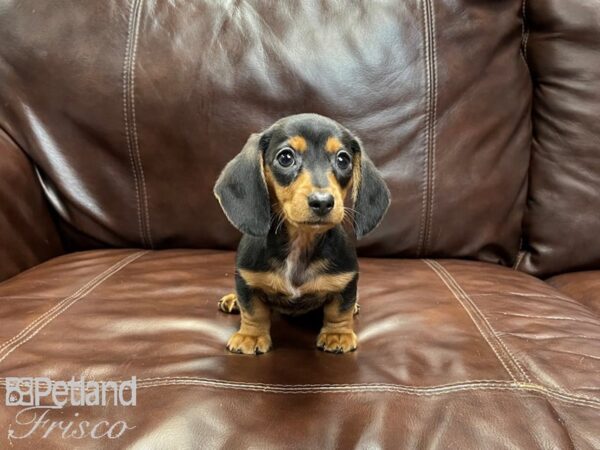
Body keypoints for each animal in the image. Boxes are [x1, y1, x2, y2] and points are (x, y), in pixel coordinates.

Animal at [213, 115, 392, 356]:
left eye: (343, 159)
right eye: (285, 157)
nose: (322, 202)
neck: (301, 240)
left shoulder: (346, 280)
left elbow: (339, 310)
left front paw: (337, 335)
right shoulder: (247, 278)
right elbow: (253, 310)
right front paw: (251, 336)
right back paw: (232, 300)